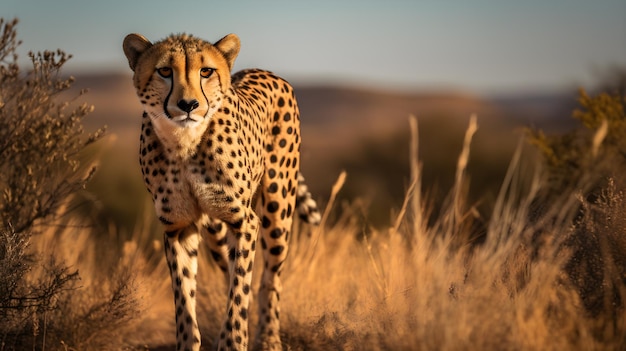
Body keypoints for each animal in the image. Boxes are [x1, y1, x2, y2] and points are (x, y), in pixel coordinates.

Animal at [122, 33, 320, 351]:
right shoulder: (178, 227)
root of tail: (263, 71)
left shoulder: (246, 222)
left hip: (277, 209)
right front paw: (189, 343)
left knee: (269, 278)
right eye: (164, 71)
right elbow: (184, 299)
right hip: (215, 231)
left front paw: (234, 341)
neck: (184, 143)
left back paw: (269, 337)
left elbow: (239, 293)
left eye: (206, 71)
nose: (188, 105)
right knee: (231, 269)